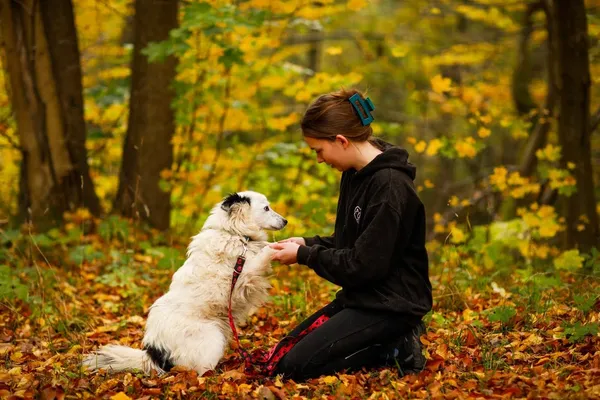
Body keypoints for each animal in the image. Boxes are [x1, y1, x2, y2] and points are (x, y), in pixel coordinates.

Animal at [82, 191, 288, 376]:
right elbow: (264, 254)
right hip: (212, 338)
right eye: (266, 208)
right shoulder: (243, 277)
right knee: (197, 371)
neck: (236, 234)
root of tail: (154, 353)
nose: (286, 221)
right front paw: (277, 248)